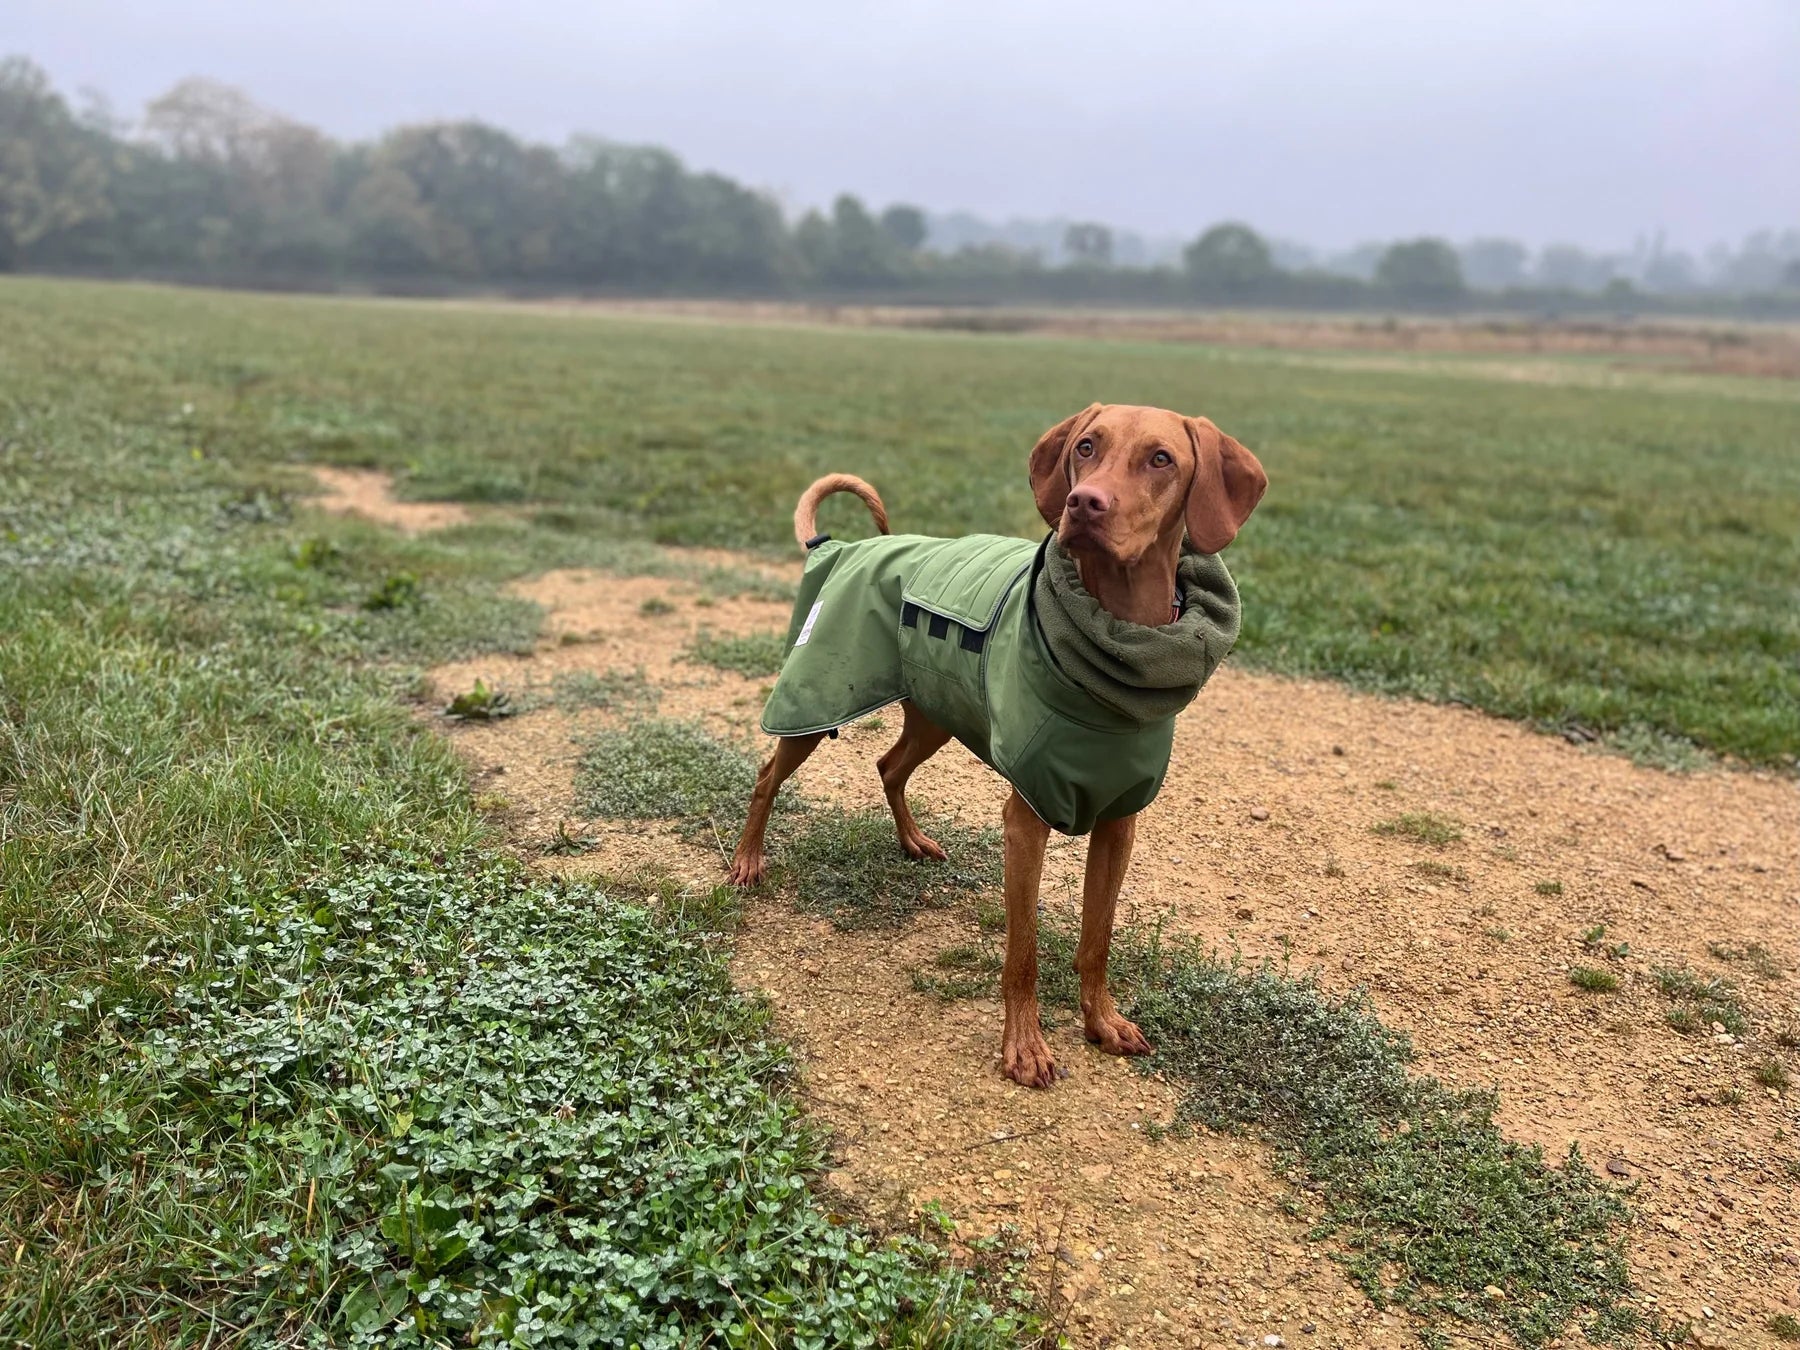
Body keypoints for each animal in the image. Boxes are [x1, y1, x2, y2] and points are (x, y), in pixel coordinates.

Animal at [727, 406, 1267, 1094]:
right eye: (1086, 447)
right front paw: (1025, 1049)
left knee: (888, 765)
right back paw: (747, 860)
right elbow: (1023, 953)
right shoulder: (1025, 822)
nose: (1083, 503)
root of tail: (838, 548)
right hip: (815, 702)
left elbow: (1097, 938)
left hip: (935, 712)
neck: (1117, 645)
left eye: (1161, 459)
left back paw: (912, 840)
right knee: (768, 773)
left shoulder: (1118, 823)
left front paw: (1102, 1021)